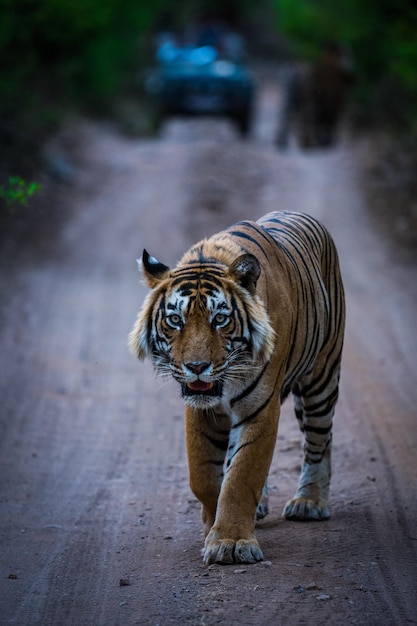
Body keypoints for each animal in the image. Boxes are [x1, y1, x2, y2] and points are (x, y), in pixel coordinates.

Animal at [129, 211, 344, 564]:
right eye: (175, 320)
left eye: (220, 319)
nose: (197, 367)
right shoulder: (200, 411)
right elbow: (204, 476)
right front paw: (211, 526)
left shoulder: (261, 407)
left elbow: (242, 475)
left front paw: (230, 542)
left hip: (322, 377)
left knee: (319, 440)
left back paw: (310, 502)